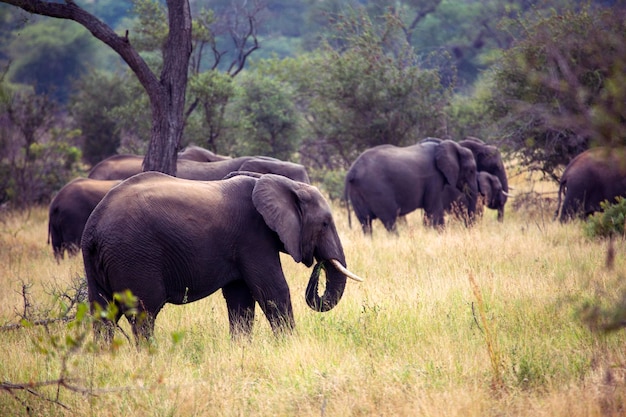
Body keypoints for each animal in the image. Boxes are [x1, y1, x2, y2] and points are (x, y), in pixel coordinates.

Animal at [344, 138, 476, 232]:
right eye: (471, 171)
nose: (468, 228)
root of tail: (352, 172)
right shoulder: (433, 178)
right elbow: (434, 209)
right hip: (376, 190)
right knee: (389, 220)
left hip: (356, 192)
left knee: (365, 223)